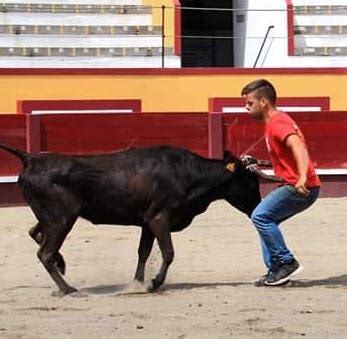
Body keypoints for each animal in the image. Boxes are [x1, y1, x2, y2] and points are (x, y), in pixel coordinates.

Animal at [0, 143, 278, 294]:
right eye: (250, 182)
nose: (257, 208)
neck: (189, 174)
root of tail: (31, 157)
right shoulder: (159, 218)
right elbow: (168, 252)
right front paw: (153, 283)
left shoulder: (147, 222)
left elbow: (144, 252)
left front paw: (137, 282)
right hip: (62, 218)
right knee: (45, 251)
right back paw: (68, 288)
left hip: (55, 217)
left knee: (36, 234)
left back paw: (62, 266)